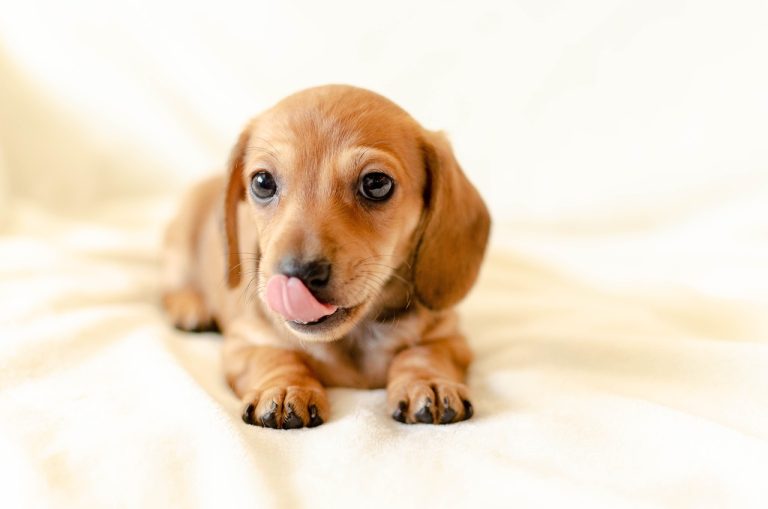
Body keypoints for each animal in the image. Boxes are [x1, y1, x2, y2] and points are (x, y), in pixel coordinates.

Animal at [163, 85, 492, 426]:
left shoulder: (449, 337)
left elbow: (423, 353)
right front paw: (285, 387)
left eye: (376, 183)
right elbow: (275, 355)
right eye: (262, 182)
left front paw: (428, 382)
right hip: (179, 244)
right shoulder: (245, 341)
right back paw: (191, 307)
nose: (296, 275)